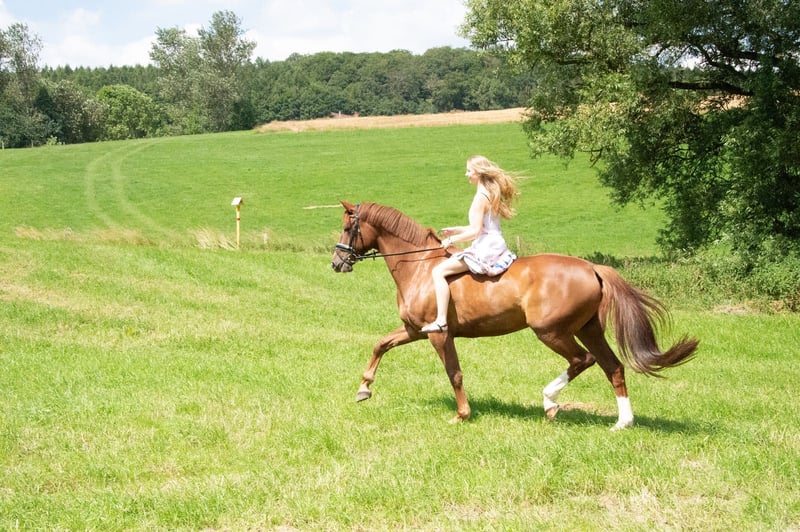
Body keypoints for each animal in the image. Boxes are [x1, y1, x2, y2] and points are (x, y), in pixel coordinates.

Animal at [331, 201, 698, 429]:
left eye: (348, 228)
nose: (337, 263)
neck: (420, 267)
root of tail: (591, 267)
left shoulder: (438, 334)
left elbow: (454, 374)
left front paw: (462, 415)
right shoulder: (414, 330)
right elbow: (381, 344)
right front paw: (363, 389)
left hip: (551, 331)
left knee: (582, 360)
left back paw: (550, 403)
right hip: (588, 329)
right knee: (613, 367)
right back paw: (622, 422)